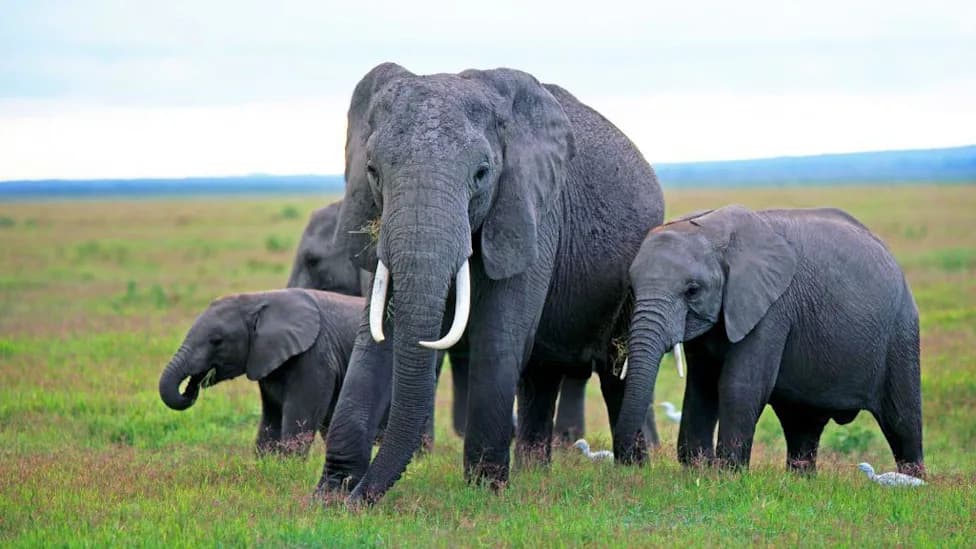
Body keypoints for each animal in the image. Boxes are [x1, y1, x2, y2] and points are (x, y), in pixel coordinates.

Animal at [158, 288, 380, 458]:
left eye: (217, 341)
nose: (191, 386)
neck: (259, 299)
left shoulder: (316, 357)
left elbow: (298, 421)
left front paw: (289, 470)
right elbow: (270, 420)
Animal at [317, 62, 664, 505]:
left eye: (482, 174)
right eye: (373, 172)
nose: (357, 496)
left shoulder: (532, 211)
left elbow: (498, 336)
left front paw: (485, 491)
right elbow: (376, 339)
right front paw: (330, 495)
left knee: (615, 370)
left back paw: (631, 471)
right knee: (541, 376)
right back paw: (536, 472)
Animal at [614, 205, 924, 478]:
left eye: (692, 290)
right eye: (632, 288)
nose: (628, 463)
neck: (713, 229)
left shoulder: (772, 307)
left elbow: (739, 385)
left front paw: (727, 476)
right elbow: (702, 386)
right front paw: (697, 469)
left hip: (901, 331)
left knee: (902, 420)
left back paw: (914, 483)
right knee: (802, 423)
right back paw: (801, 481)